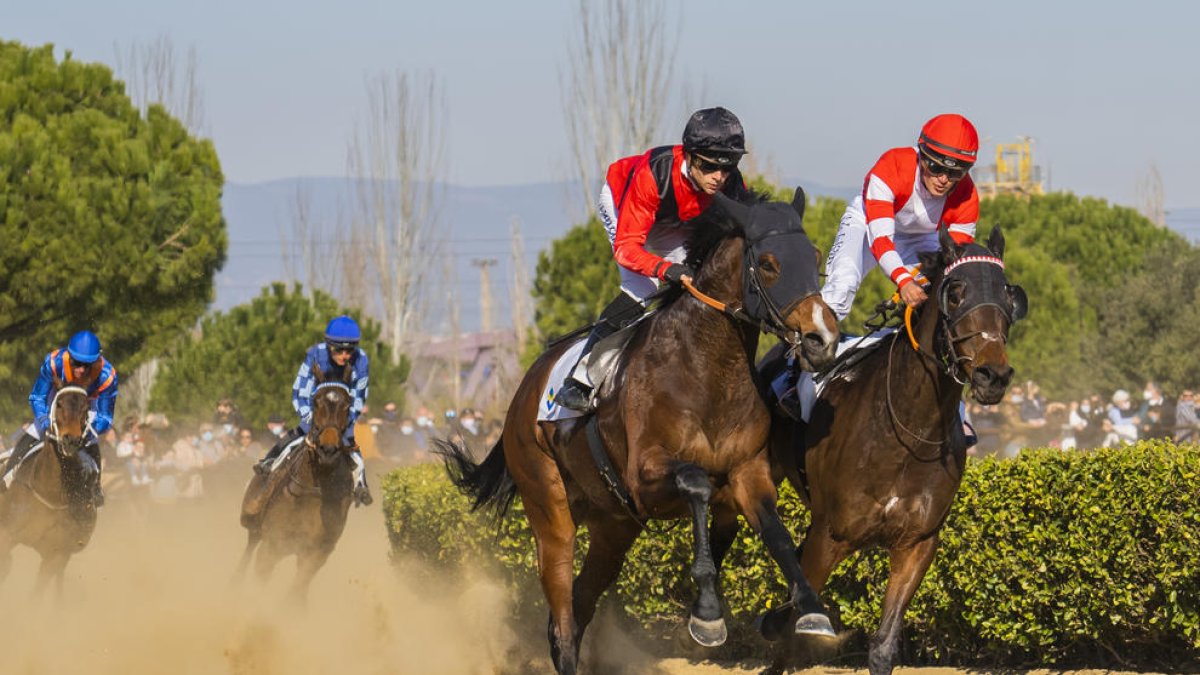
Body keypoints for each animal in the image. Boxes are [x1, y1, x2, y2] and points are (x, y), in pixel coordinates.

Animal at [0, 369, 100, 595]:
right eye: (60, 403)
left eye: (86, 407)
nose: (70, 440)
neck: (50, 492)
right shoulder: (6, 536)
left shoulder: (56, 555)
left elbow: (36, 595)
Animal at [234, 360, 355, 600]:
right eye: (316, 401)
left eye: (347, 405)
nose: (328, 449)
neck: (316, 489)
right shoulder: (271, 545)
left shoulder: (315, 554)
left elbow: (297, 593)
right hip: (255, 524)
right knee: (248, 550)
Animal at [441, 189, 844, 672]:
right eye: (768, 263)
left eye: (814, 256)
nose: (822, 339)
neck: (707, 369)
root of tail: (522, 393)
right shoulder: (644, 477)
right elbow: (696, 484)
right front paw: (707, 615)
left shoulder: (748, 471)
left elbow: (777, 535)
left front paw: (812, 610)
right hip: (548, 504)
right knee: (561, 605)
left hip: (613, 526)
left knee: (578, 605)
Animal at [753, 225, 1027, 672]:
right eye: (956, 293)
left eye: (1007, 296)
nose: (993, 375)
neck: (908, 429)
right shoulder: (829, 536)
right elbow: (796, 628)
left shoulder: (917, 542)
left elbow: (883, 644)